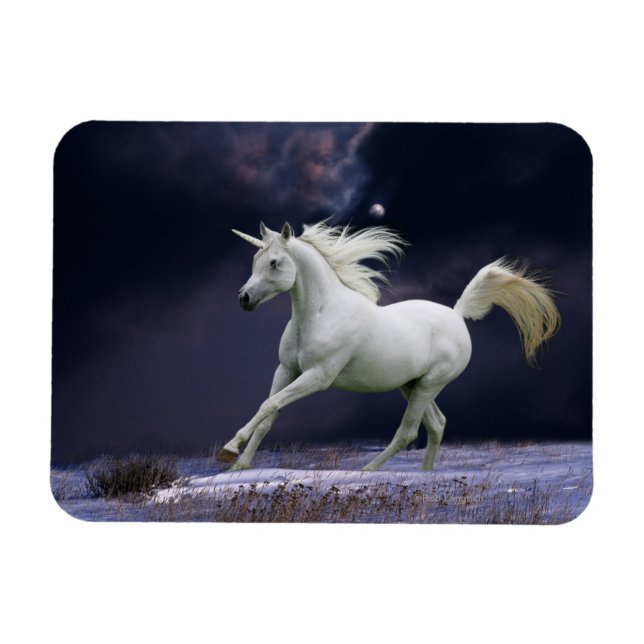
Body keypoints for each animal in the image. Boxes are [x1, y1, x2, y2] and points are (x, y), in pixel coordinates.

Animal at [217, 220, 560, 472]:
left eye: (274, 262)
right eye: (255, 260)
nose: (244, 298)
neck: (319, 314)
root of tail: (457, 314)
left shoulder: (318, 376)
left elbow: (269, 406)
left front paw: (229, 449)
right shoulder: (286, 371)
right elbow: (269, 413)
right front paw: (239, 465)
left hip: (429, 385)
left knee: (409, 431)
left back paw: (368, 470)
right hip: (412, 384)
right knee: (437, 425)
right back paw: (424, 476)